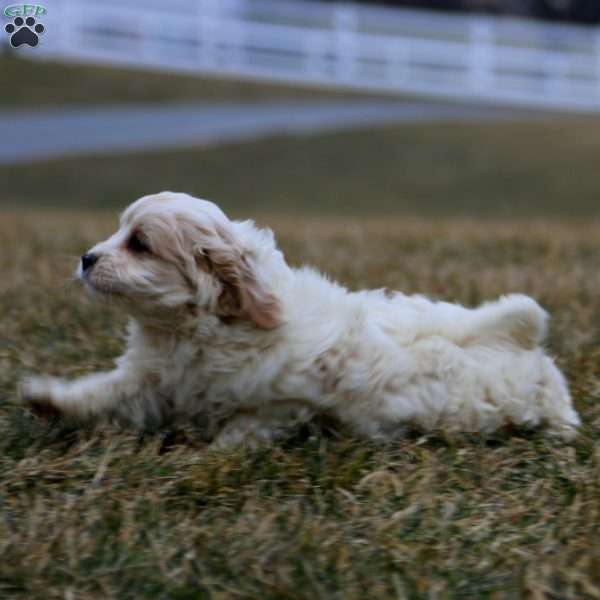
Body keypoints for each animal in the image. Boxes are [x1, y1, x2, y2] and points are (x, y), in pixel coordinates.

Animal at [21, 192, 580, 446]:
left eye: (139, 243)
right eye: (119, 232)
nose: (87, 258)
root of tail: (522, 339)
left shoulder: (285, 399)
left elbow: (244, 428)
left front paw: (210, 454)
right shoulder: (151, 380)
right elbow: (103, 393)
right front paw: (48, 399)